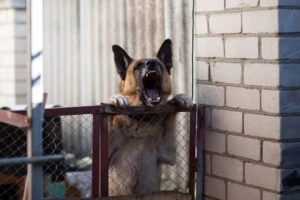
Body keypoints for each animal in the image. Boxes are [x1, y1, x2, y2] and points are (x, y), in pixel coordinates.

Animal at [108, 38, 192, 195]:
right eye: (138, 66)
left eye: (158, 63)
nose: (151, 63)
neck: (142, 120)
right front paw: (115, 98)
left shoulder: (168, 151)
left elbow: (170, 113)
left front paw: (180, 97)